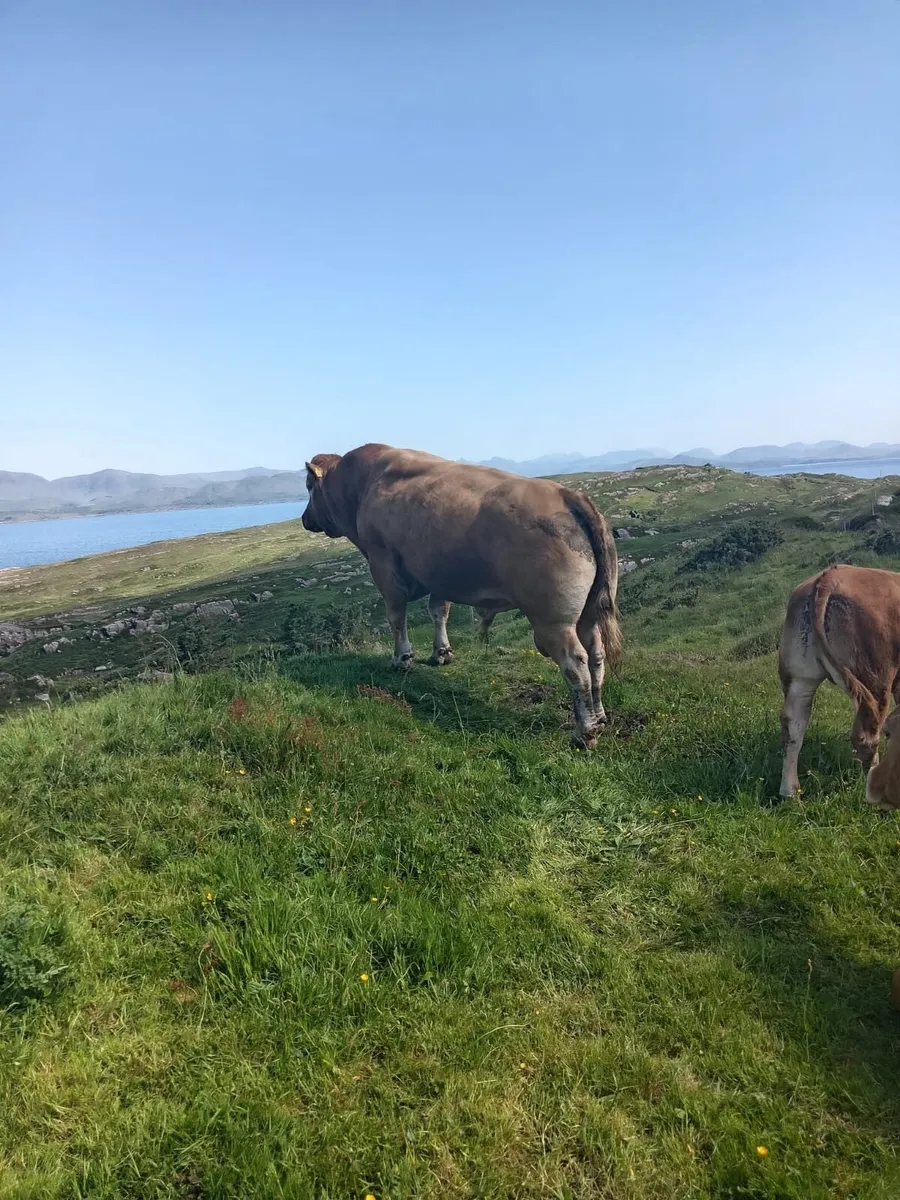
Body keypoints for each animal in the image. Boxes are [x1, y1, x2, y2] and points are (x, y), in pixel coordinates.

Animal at [301, 443, 622, 748]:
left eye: (308, 486)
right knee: (596, 655)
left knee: (575, 664)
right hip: (589, 613)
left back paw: (585, 733)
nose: (304, 519)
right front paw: (441, 652)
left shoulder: (384, 565)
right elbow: (438, 611)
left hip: (553, 621)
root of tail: (568, 495)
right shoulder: (438, 573)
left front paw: (402, 658)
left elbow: (396, 616)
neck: (360, 486)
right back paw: (600, 716)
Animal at [778, 564, 900, 806]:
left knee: (792, 729)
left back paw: (790, 792)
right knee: (866, 735)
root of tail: (830, 575)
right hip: (875, 677)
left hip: (799, 678)